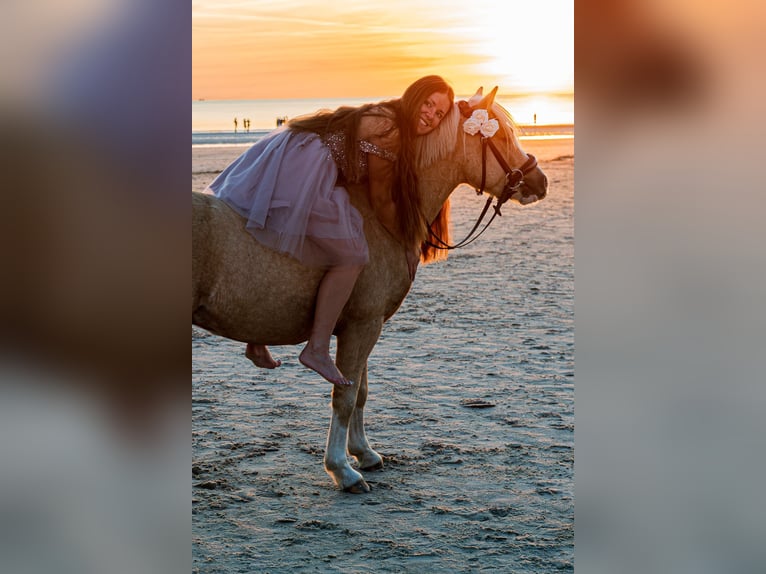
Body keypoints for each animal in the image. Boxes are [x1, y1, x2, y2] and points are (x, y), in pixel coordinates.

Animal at [195, 86, 548, 496]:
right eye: (502, 136)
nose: (541, 182)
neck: (380, 219)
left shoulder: (362, 327)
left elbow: (360, 392)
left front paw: (363, 452)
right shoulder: (364, 325)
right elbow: (345, 396)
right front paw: (342, 469)